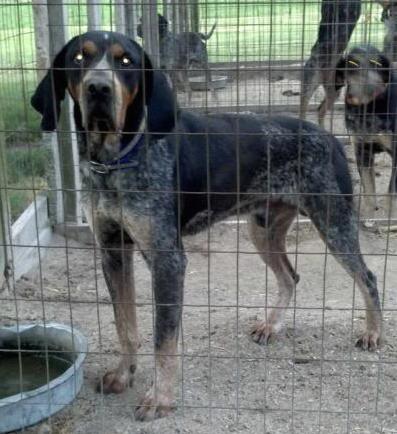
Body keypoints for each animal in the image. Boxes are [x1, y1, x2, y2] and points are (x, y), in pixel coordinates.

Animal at [31, 30, 380, 420]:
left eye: (126, 61)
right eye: (79, 58)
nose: (98, 89)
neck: (117, 160)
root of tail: (329, 137)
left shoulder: (168, 261)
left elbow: (163, 340)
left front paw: (160, 398)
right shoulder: (112, 251)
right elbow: (125, 325)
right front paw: (124, 375)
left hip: (334, 224)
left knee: (368, 278)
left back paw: (373, 334)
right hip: (262, 229)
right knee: (290, 277)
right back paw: (271, 325)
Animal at [334, 45, 396, 220]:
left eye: (376, 63)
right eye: (352, 63)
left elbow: (391, 192)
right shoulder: (362, 151)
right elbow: (368, 189)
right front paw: (369, 215)